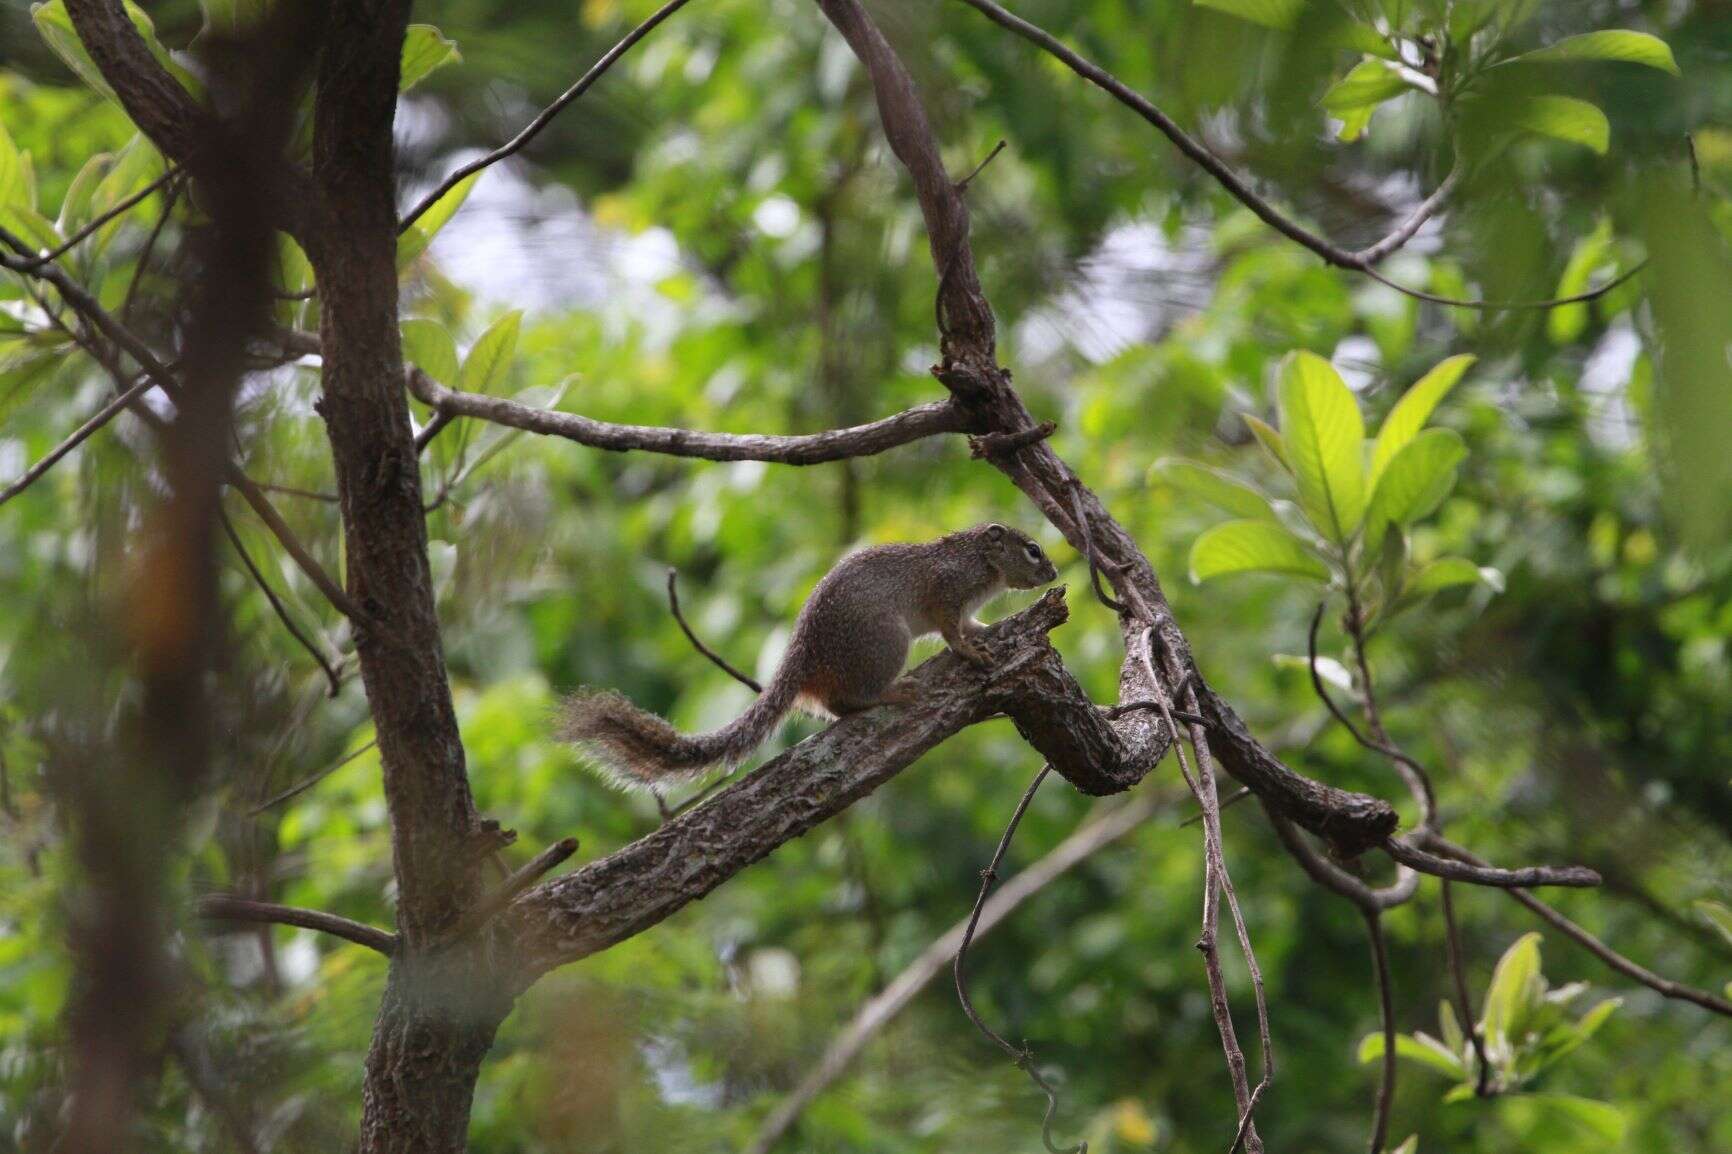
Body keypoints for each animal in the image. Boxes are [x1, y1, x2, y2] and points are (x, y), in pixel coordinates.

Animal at [561, 526, 1059, 786]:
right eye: (1032, 550)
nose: (1054, 571)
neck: (981, 562)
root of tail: (803, 653)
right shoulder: (947, 590)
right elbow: (950, 632)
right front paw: (971, 651)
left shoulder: (965, 605)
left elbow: (970, 625)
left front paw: (987, 632)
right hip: (884, 642)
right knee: (846, 702)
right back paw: (893, 694)